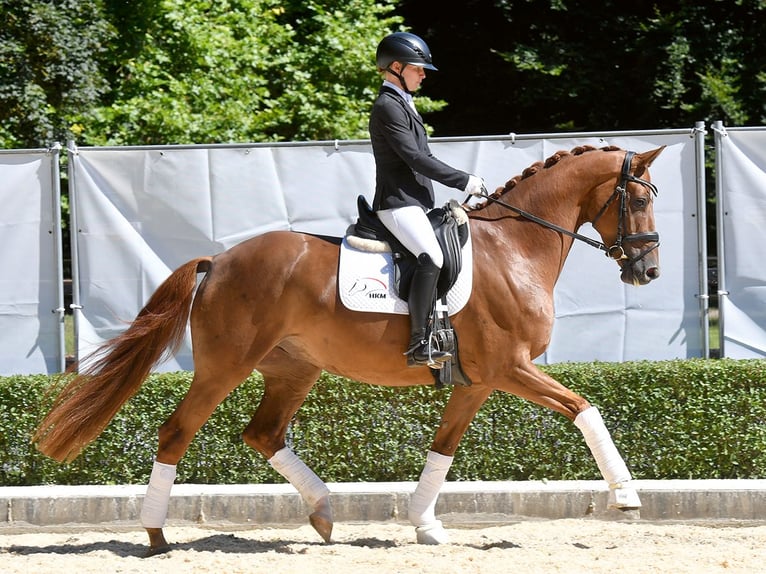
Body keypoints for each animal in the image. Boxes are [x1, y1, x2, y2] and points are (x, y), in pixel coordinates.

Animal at [33, 144, 664, 560]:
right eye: (635, 199)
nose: (649, 271)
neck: (514, 248)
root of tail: (221, 260)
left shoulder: (479, 380)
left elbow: (444, 447)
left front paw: (426, 525)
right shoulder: (510, 368)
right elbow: (584, 407)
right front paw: (627, 496)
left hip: (294, 369)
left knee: (263, 434)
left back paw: (323, 513)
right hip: (225, 367)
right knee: (177, 432)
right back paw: (157, 535)